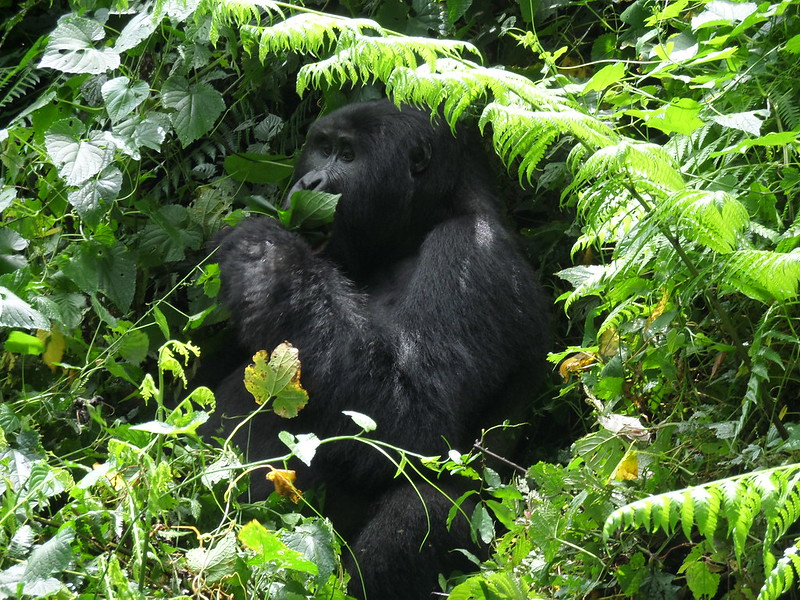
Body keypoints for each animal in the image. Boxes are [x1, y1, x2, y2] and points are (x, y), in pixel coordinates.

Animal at [209, 99, 552, 600]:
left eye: (348, 156)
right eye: (323, 148)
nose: (309, 184)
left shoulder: (471, 253)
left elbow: (414, 425)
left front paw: (269, 256)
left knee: (429, 503)